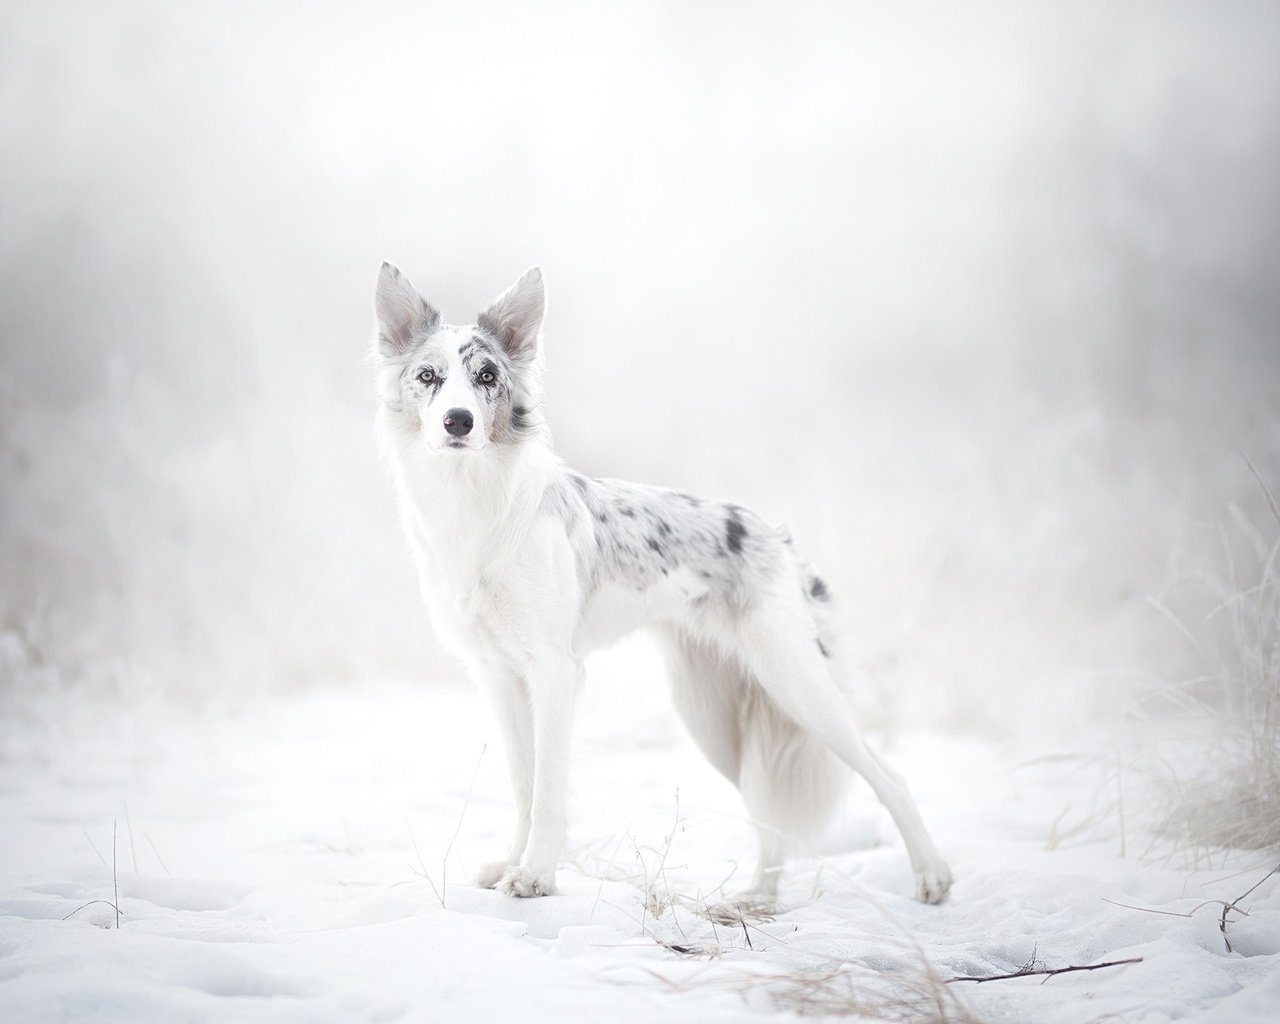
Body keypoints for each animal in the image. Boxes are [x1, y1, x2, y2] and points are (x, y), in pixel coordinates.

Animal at [371, 263, 952, 906]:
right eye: (428, 376)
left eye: (487, 377)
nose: (459, 421)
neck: (474, 506)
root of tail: (776, 537)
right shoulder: (499, 675)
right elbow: (524, 783)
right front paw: (510, 865)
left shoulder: (555, 672)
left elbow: (548, 790)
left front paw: (536, 875)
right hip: (712, 716)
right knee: (768, 809)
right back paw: (758, 898)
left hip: (798, 687)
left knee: (890, 778)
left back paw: (931, 875)